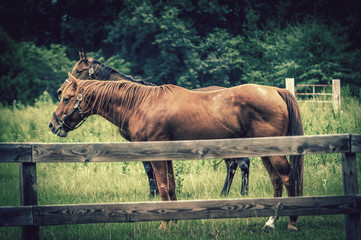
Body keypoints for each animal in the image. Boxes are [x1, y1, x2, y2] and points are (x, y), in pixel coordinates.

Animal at [49, 72, 304, 230]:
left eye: (67, 98)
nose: (53, 125)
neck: (141, 104)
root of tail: (276, 91)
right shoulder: (168, 156)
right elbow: (171, 187)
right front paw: (174, 222)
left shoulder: (157, 155)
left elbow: (162, 188)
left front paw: (164, 224)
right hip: (265, 152)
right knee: (276, 181)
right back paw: (270, 221)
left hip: (274, 153)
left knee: (287, 178)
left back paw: (292, 222)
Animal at [57, 50, 249, 197]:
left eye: (79, 70)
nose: (60, 91)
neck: (136, 101)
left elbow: (149, 168)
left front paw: (153, 193)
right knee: (233, 164)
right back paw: (226, 193)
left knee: (241, 163)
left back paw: (241, 193)